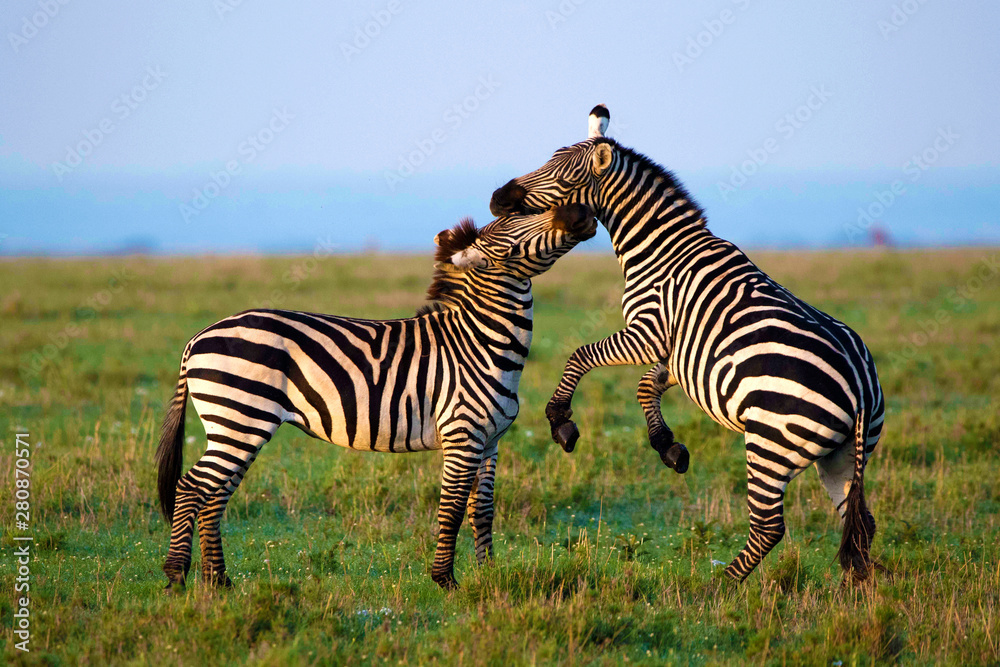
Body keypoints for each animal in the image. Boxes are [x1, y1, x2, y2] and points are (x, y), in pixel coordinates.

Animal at [155, 204, 597, 591]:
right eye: (511, 234)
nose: (581, 212)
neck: (482, 343)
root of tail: (198, 338)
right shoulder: (462, 436)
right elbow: (452, 509)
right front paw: (446, 581)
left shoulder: (491, 442)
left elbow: (483, 511)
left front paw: (489, 576)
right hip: (240, 418)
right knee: (191, 488)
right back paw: (177, 576)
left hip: (236, 424)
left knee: (214, 496)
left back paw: (219, 581)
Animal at [489, 106, 884, 582]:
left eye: (562, 179)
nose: (496, 198)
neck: (660, 250)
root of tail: (860, 385)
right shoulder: (676, 355)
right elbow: (646, 387)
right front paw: (668, 447)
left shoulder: (647, 333)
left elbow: (581, 356)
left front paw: (560, 421)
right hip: (842, 456)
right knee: (858, 523)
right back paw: (854, 594)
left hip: (771, 445)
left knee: (769, 527)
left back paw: (719, 588)